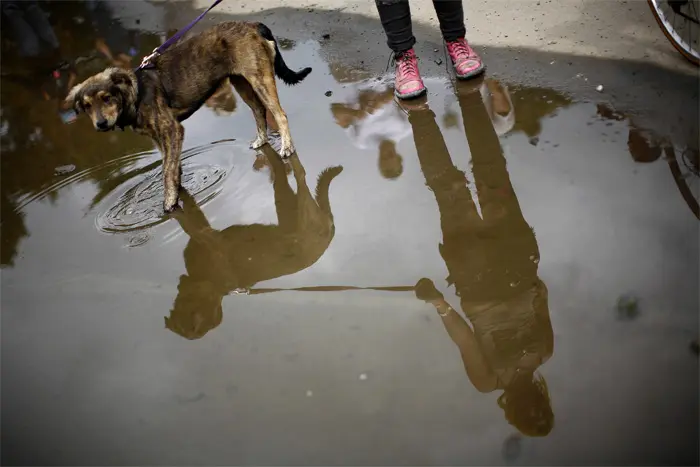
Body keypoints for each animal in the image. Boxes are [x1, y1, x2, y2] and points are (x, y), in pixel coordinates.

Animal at [65, 21, 312, 212]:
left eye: (107, 98)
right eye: (86, 106)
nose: (101, 124)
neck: (134, 95)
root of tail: (254, 25)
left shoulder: (172, 130)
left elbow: (166, 169)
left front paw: (169, 202)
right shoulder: (161, 138)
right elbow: (172, 165)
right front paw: (178, 190)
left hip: (260, 79)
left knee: (280, 114)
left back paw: (287, 148)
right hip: (241, 82)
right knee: (259, 110)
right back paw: (262, 140)